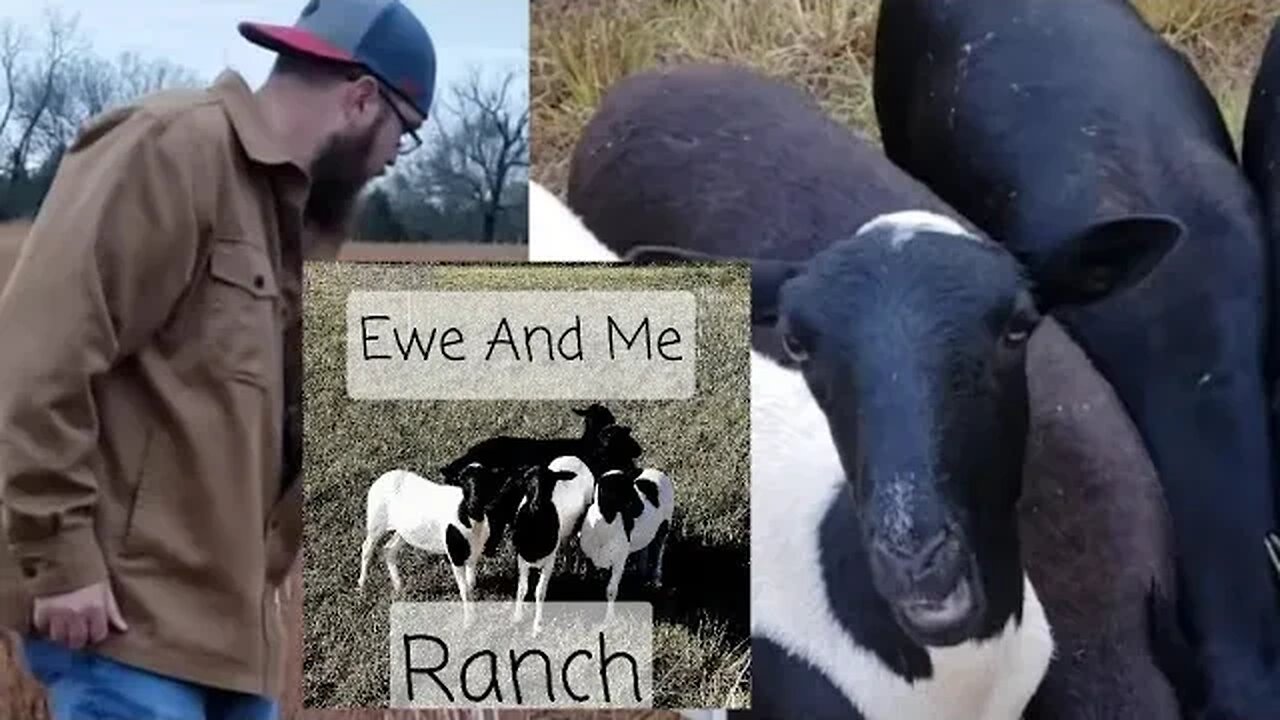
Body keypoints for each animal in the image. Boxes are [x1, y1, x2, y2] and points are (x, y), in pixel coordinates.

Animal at [363, 458, 501, 622]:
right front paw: (469, 621)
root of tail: (384, 477)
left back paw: (398, 587)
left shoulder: (473, 551)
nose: (473, 504)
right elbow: (464, 589)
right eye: (462, 483)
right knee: (367, 548)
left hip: (403, 531)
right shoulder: (455, 554)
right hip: (376, 521)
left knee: (389, 549)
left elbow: (471, 583)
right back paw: (362, 585)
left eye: (487, 482)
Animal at [509, 453, 593, 632]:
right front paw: (518, 618)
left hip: (582, 518)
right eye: (526, 479)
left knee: (579, 544)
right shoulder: (522, 558)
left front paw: (537, 626)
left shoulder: (549, 561)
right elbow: (522, 589)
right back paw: (567, 568)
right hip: (565, 529)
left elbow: (540, 592)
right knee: (567, 543)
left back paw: (578, 569)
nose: (537, 503)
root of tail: (573, 457)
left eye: (551, 480)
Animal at [578, 461, 675, 620]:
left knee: (659, 550)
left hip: (665, 525)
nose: (641, 508)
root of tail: (658, 471)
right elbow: (589, 582)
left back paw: (656, 580)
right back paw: (641, 572)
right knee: (645, 548)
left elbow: (611, 591)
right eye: (623, 489)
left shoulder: (619, 560)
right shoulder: (589, 557)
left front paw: (609, 619)